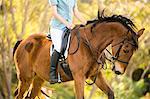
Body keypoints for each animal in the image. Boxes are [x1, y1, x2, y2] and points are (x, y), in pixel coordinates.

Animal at [13, 11, 144, 99]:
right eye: (126, 49)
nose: (119, 71)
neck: (89, 45)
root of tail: (23, 41)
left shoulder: (95, 75)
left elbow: (110, 93)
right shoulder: (78, 77)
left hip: (38, 79)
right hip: (25, 79)